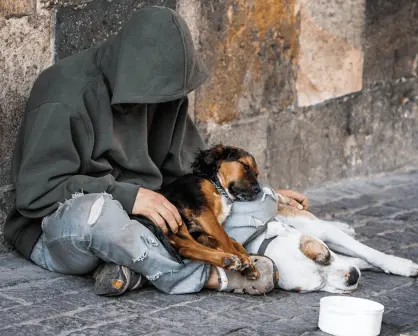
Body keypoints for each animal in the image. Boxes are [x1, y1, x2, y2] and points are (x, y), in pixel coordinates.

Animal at [158, 144, 260, 278]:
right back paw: (229, 259)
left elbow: (233, 241)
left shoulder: (204, 227)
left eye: (257, 174)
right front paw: (241, 257)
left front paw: (247, 262)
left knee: (187, 248)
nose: (259, 190)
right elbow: (224, 236)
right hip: (175, 220)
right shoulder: (201, 211)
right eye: (244, 165)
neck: (217, 187)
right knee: (187, 247)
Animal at [245, 196, 418, 292]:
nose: (352, 277)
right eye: (319, 285)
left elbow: (369, 253)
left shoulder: (326, 233)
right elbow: (360, 261)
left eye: (327, 255)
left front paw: (400, 265)